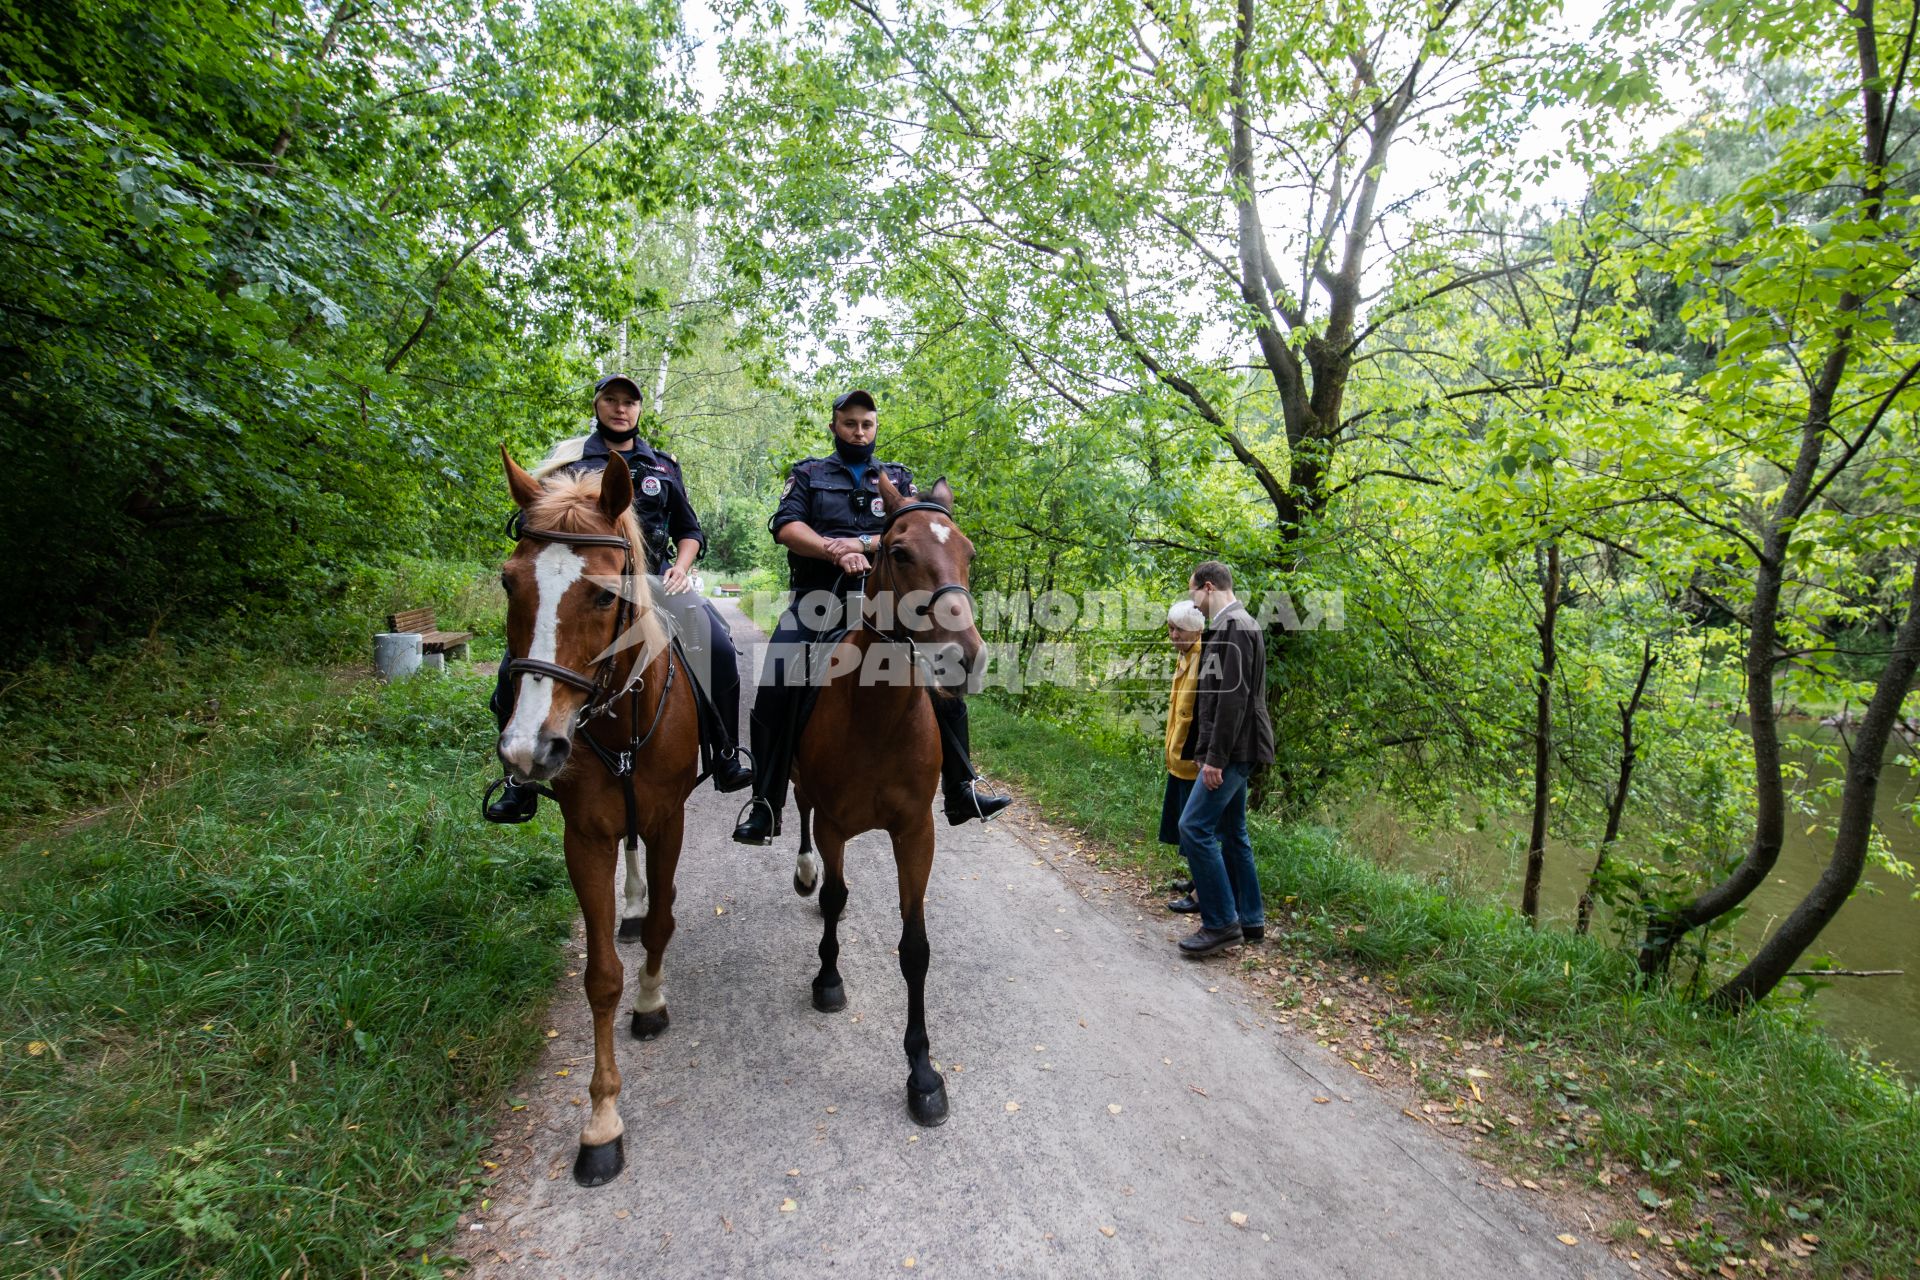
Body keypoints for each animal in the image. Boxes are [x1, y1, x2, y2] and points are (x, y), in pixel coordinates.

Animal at [499, 445, 702, 1189]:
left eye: (604, 594)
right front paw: (602, 1121)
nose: (530, 749)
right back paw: (631, 904)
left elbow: (667, 920)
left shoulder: (671, 817)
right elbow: (600, 976)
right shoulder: (583, 836)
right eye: (508, 583)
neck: (618, 720)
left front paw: (651, 1002)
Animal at [787, 470, 983, 1120]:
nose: (963, 658)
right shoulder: (833, 823)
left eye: (969, 553)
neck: (876, 716)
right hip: (802, 791)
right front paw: (827, 980)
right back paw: (803, 871)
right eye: (898, 552)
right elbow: (835, 899)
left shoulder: (915, 833)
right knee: (797, 813)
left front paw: (922, 1072)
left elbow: (915, 948)